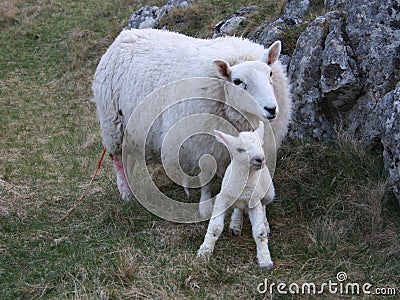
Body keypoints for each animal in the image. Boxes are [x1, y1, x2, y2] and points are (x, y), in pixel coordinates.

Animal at [91, 28, 290, 216]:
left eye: (270, 73)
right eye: (237, 81)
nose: (271, 109)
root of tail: (124, 35)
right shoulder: (202, 144)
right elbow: (206, 178)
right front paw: (205, 207)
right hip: (113, 126)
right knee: (119, 161)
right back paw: (127, 193)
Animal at [198, 122, 276, 270]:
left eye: (261, 145)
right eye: (240, 149)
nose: (260, 159)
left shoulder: (254, 201)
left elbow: (260, 232)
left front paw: (265, 260)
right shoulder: (222, 199)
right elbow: (215, 227)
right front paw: (204, 251)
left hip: (269, 192)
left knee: (264, 205)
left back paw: (265, 223)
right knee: (238, 208)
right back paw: (235, 224)